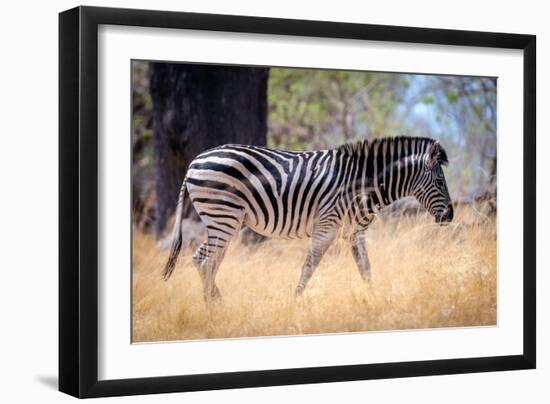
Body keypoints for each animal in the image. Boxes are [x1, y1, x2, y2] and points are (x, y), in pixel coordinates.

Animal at [162, 136, 454, 300]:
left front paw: (376, 300)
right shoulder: (327, 224)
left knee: (211, 262)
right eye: (440, 182)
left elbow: (366, 269)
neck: (363, 184)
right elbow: (309, 267)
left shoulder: (355, 232)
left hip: (225, 221)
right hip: (223, 215)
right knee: (202, 259)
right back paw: (215, 306)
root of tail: (194, 162)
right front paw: (296, 302)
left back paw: (216, 303)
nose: (450, 216)